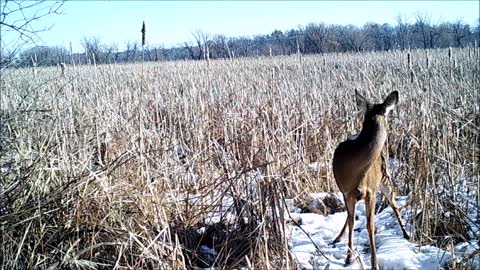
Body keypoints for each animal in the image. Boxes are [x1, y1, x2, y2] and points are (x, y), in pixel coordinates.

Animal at [334, 90, 408, 270]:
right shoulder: (346, 191)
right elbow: (352, 222)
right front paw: (348, 258)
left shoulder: (371, 192)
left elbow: (370, 225)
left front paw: (375, 264)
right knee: (350, 216)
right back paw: (338, 238)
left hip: (385, 177)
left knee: (393, 201)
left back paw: (406, 233)